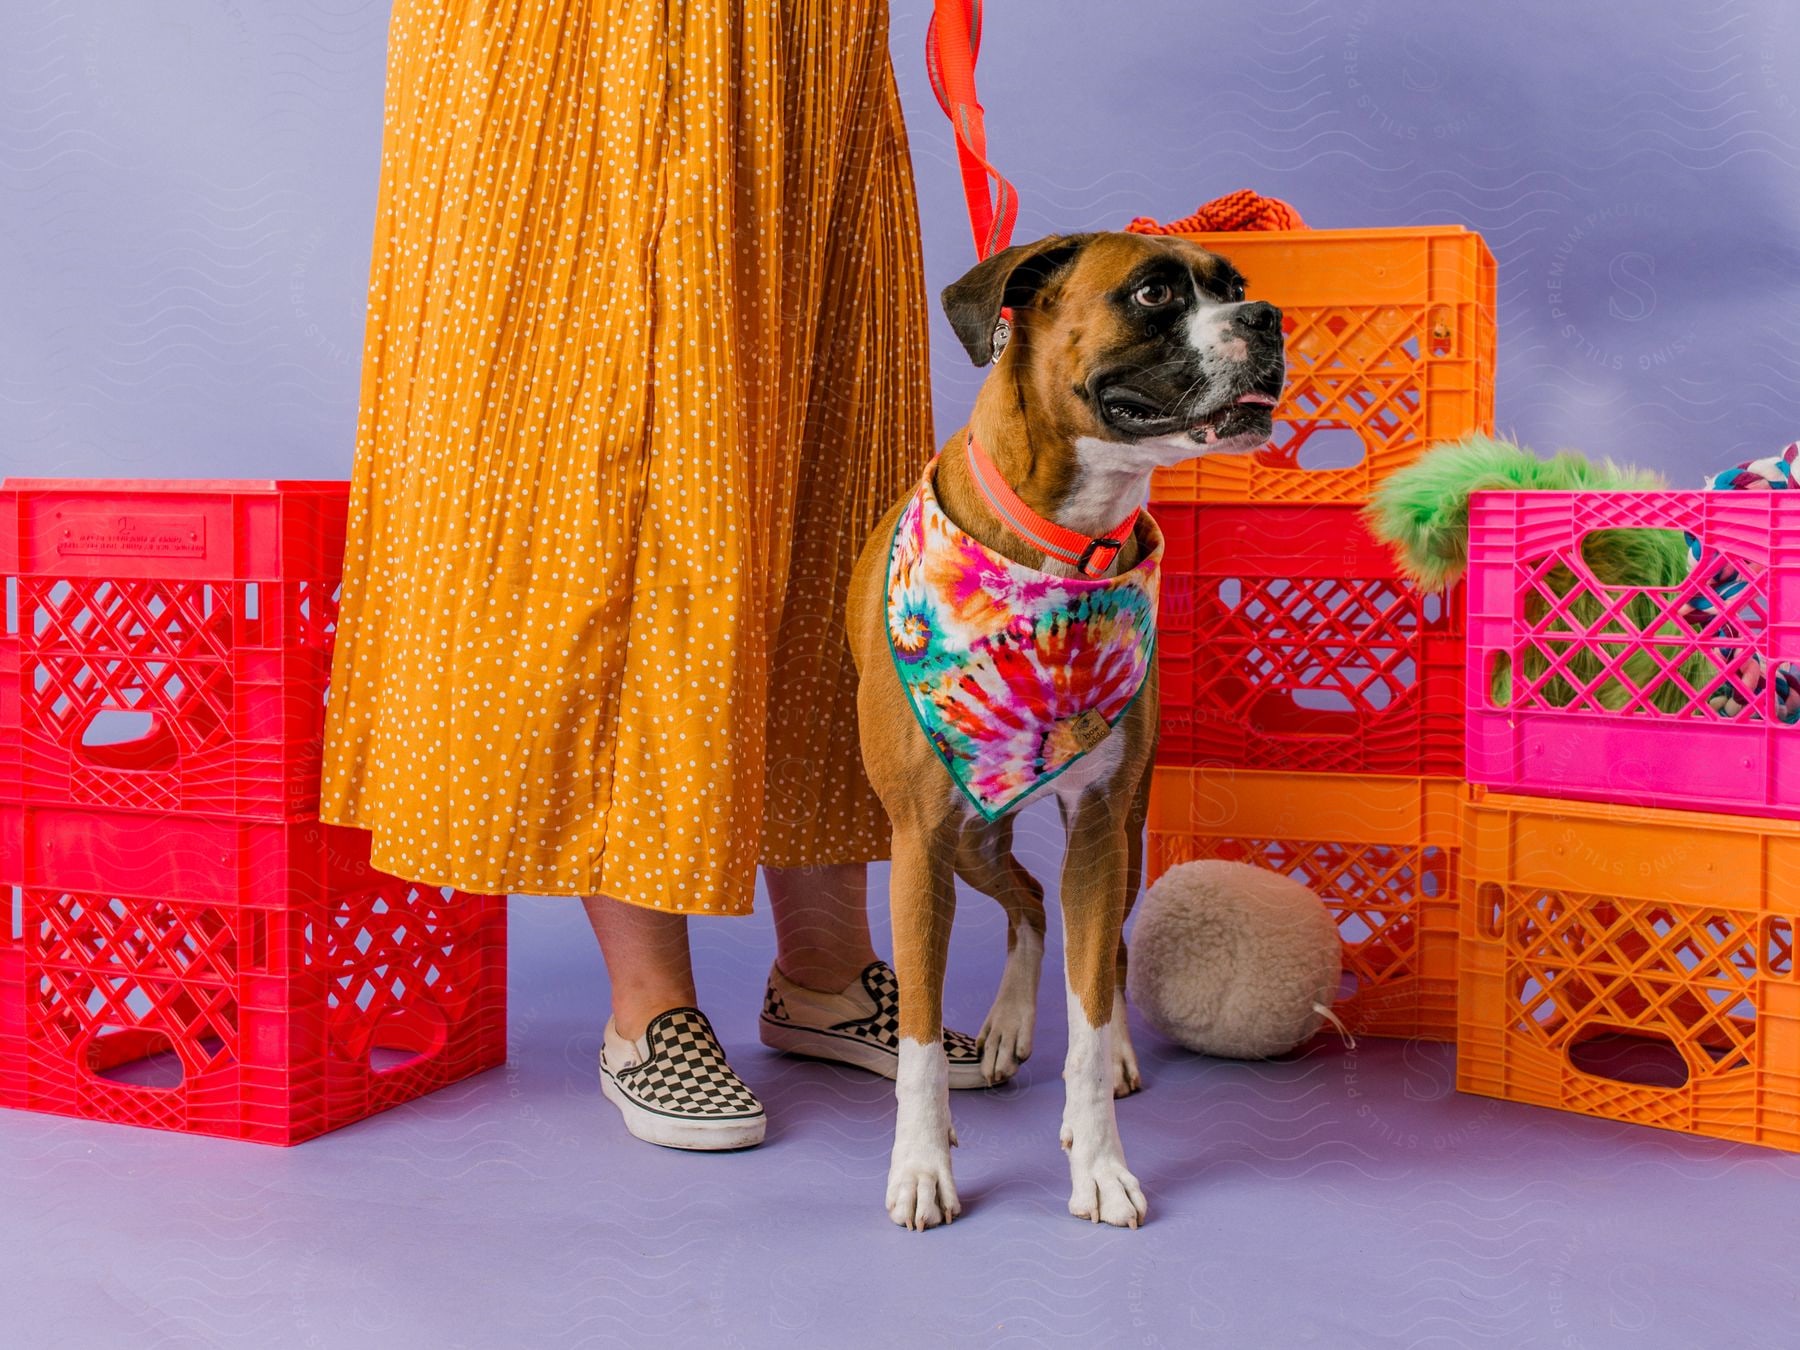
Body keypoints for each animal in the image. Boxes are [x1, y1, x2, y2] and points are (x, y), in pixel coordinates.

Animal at [849, 227, 1288, 1231]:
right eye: (1154, 292)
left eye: (1236, 284)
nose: (1268, 317)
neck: (1066, 542)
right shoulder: (918, 841)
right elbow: (919, 1037)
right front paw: (920, 1166)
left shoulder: (1096, 829)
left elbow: (1085, 1021)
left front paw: (1100, 1166)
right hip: (970, 832)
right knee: (1024, 900)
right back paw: (1003, 1030)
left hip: (1118, 836)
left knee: (1092, 938)